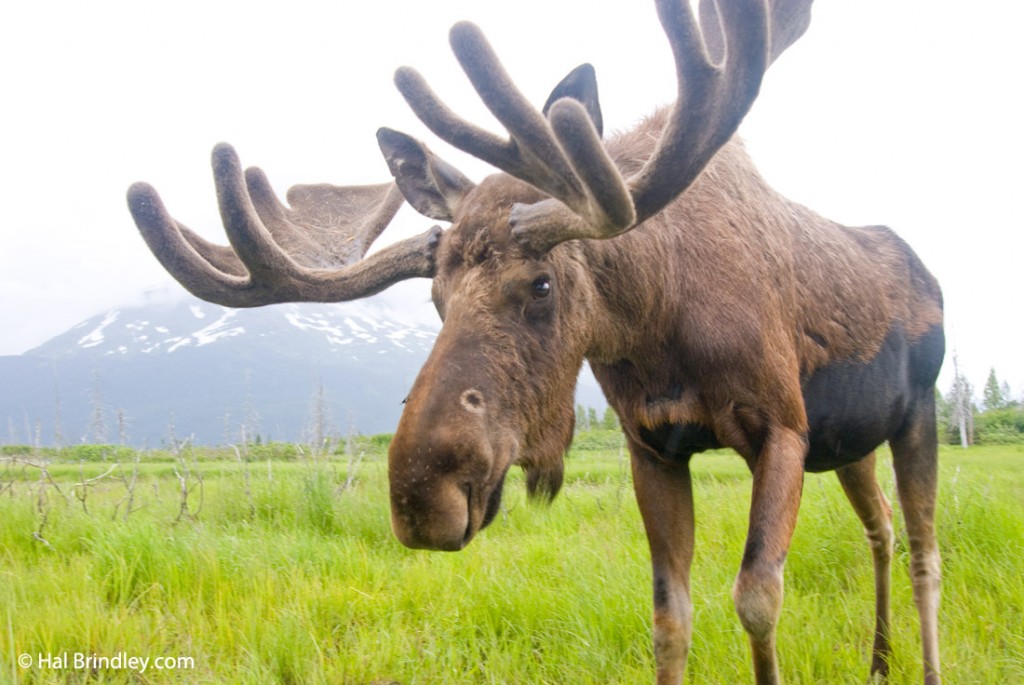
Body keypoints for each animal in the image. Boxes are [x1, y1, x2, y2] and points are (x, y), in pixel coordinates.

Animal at [125, 1, 942, 683]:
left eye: (542, 284)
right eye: (435, 297)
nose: (421, 491)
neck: (661, 321)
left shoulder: (782, 427)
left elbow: (757, 600)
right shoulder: (654, 445)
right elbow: (669, 617)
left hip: (917, 414)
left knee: (924, 552)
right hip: (850, 443)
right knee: (881, 528)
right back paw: (878, 661)